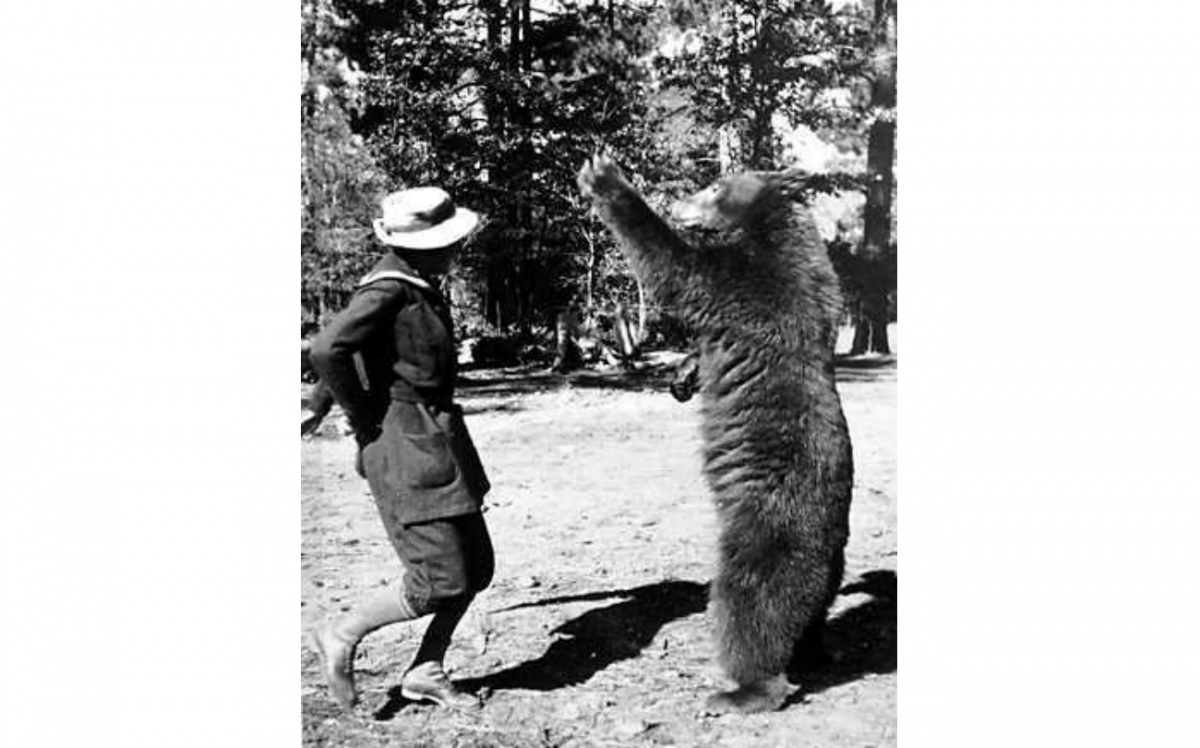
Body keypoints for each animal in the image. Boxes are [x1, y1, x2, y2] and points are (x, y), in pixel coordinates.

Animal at [578, 152, 854, 715]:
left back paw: (737, 690)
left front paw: (605, 177)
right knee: (808, 615)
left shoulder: (749, 283)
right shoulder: (813, 283)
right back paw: (812, 653)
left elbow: (677, 271)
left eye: (712, 186)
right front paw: (682, 377)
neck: (766, 228)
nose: (681, 201)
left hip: (764, 530)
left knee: (750, 607)